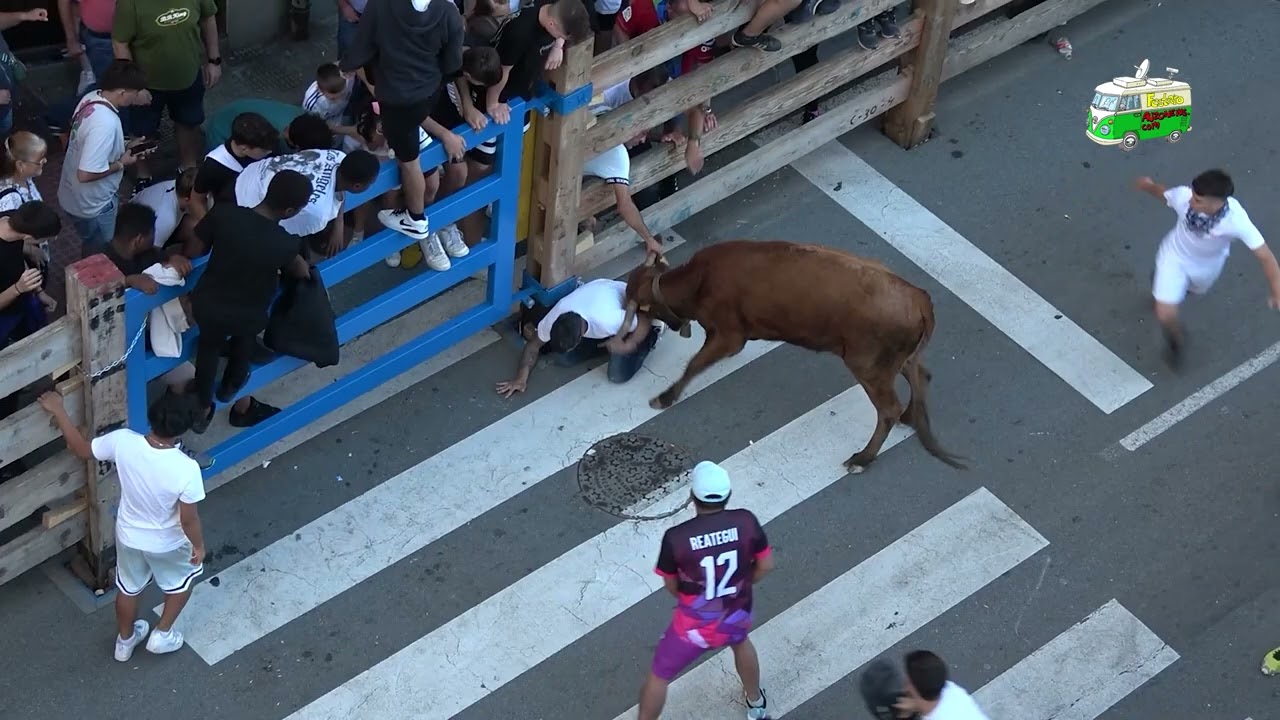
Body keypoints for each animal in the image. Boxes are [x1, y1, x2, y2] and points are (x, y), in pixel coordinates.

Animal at [608, 241, 967, 473]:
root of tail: (918, 297)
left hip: (867, 364)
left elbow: (694, 364)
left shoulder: (729, 335)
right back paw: (909, 416)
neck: (697, 281)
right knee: (922, 374)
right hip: (893, 359)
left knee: (888, 408)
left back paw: (862, 458)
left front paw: (666, 396)